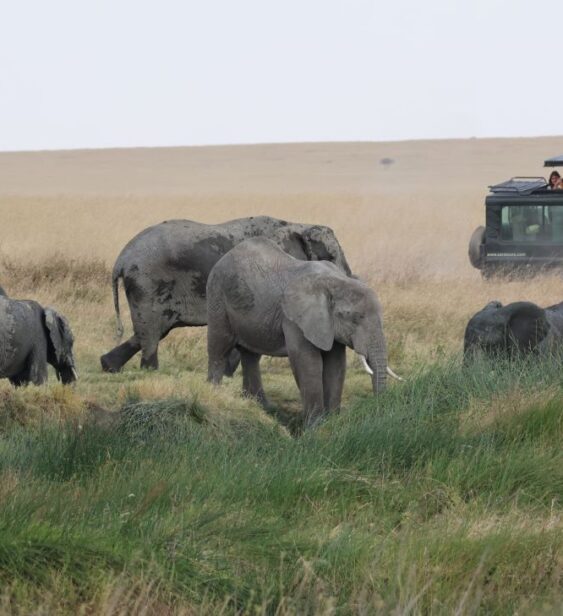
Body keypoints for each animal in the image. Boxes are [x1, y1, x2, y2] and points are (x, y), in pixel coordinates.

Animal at [99, 214, 350, 372]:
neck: (296, 225)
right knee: (151, 330)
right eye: (331, 257)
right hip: (147, 283)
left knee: (152, 329)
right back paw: (150, 370)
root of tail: (120, 260)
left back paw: (109, 366)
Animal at [207, 237, 400, 428]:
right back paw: (214, 394)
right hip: (218, 296)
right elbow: (307, 361)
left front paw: (332, 423)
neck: (336, 281)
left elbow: (336, 364)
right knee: (219, 347)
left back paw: (260, 406)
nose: (378, 406)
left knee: (251, 356)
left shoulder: (328, 325)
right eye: (353, 319)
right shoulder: (295, 319)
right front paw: (315, 427)